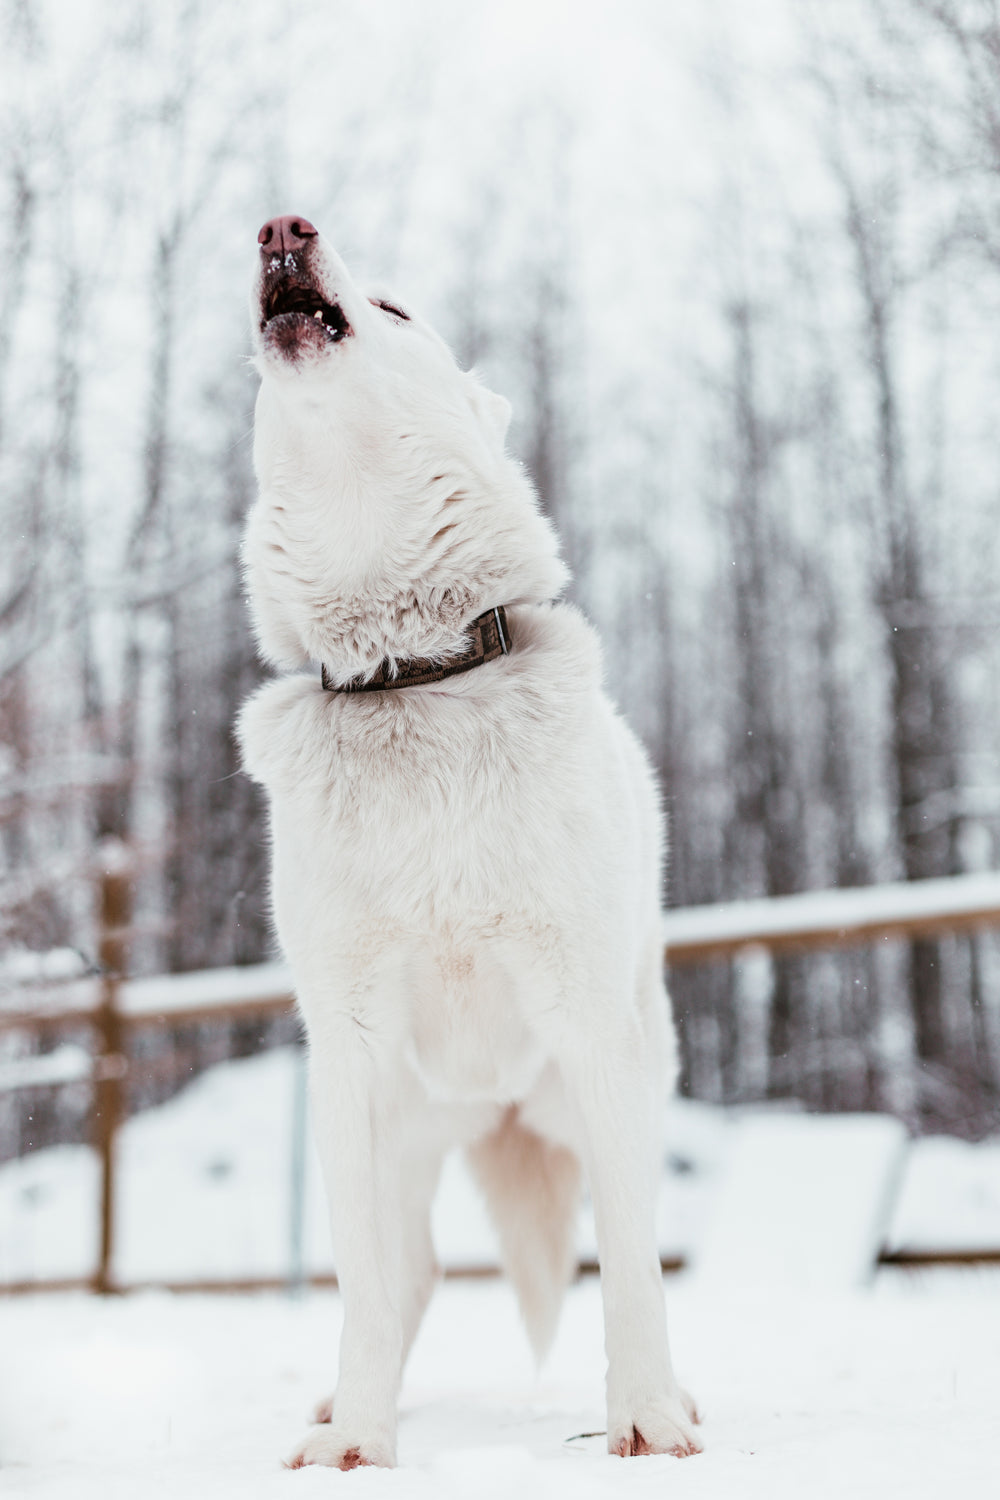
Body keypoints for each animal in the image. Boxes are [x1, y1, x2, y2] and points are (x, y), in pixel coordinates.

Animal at [238, 217, 701, 1470]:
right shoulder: (349, 1046)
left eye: (397, 309)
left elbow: (630, 1273)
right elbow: (359, 1286)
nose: (283, 230)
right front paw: (356, 1441)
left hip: (615, 1087)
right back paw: (345, 1404)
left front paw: (647, 1423)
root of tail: (492, 1110)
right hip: (398, 1137)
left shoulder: (587, 1023)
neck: (410, 672)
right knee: (412, 1276)